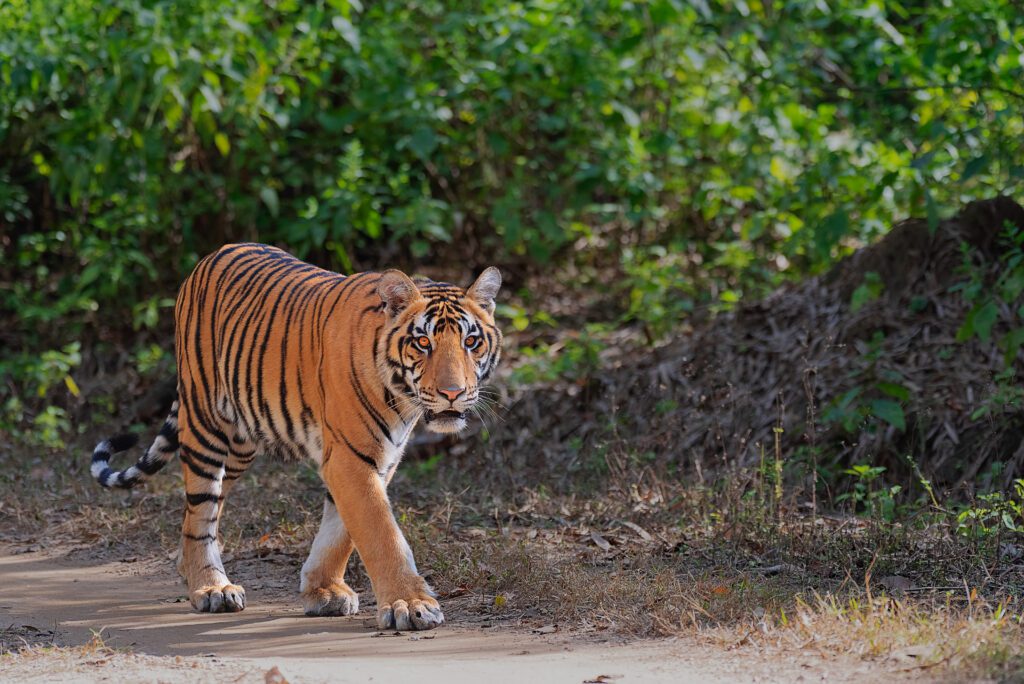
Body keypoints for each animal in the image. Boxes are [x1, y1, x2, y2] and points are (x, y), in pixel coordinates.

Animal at [92, 242, 499, 634]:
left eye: (471, 341)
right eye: (423, 343)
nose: (452, 393)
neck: (401, 397)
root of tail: (210, 257)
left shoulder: (377, 459)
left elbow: (340, 531)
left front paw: (323, 591)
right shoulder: (351, 458)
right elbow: (381, 532)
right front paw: (410, 605)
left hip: (240, 444)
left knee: (199, 510)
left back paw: (187, 570)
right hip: (206, 426)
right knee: (201, 509)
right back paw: (210, 588)